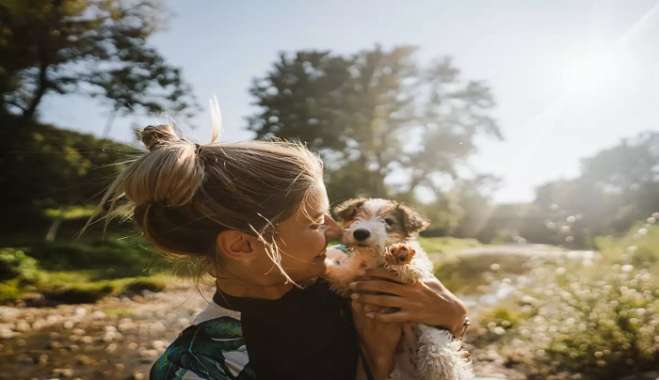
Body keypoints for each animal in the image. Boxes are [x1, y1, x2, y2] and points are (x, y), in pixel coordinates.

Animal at [324, 197, 474, 380]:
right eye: (357, 216)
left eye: (388, 221)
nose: (360, 233)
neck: (375, 258)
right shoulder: (350, 277)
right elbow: (339, 273)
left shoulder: (419, 269)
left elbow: (413, 267)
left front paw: (399, 257)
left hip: (432, 339)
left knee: (439, 354)